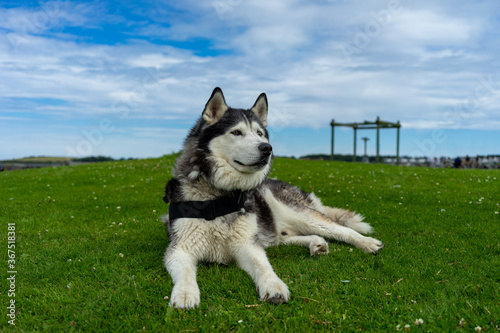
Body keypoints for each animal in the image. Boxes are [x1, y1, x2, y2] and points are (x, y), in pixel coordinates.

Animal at [162, 88, 384, 308]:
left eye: (259, 133)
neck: (218, 197)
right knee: (291, 237)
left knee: (339, 229)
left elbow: (263, 266)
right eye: (236, 132)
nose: (267, 148)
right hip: (276, 231)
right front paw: (185, 294)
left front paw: (274, 286)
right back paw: (316, 244)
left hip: (298, 213)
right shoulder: (180, 248)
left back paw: (367, 243)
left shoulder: (248, 245)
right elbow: (186, 272)